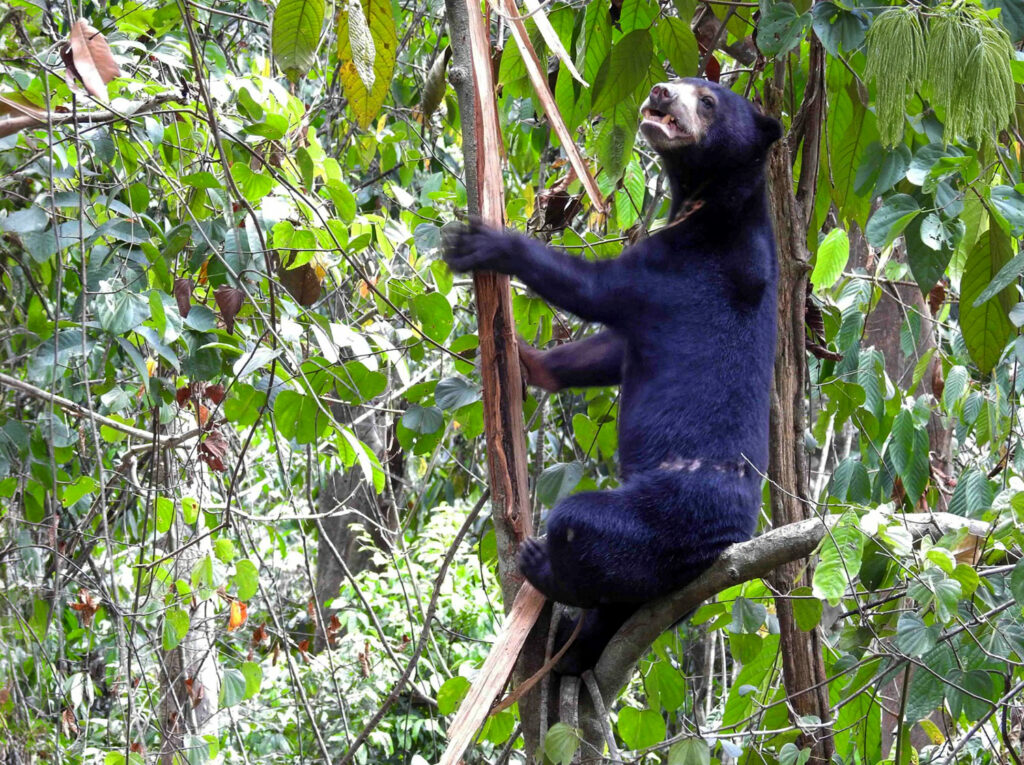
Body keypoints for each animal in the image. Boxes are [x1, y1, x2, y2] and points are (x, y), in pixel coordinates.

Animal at [444, 80, 778, 671]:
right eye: (682, 78)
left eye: (707, 100)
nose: (660, 90)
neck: (712, 201)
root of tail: (719, 552)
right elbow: (616, 349)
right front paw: (525, 359)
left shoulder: (678, 265)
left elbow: (594, 290)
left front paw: (480, 242)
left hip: (660, 523)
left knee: (581, 522)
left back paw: (542, 567)